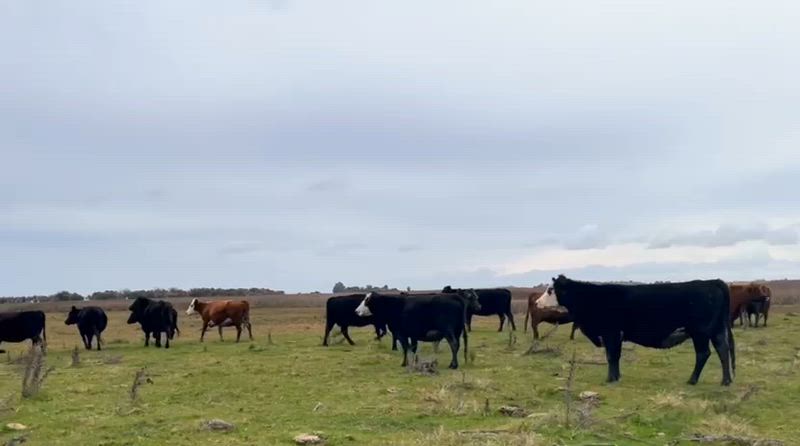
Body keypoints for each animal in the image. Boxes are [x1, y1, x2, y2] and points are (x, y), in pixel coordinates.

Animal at [537, 275, 735, 386]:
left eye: (550, 290)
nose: (537, 302)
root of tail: (713, 282)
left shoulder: (611, 333)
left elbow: (611, 356)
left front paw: (610, 379)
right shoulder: (614, 336)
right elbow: (614, 356)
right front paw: (616, 377)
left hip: (700, 332)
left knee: (703, 354)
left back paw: (692, 380)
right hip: (716, 331)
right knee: (723, 351)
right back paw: (726, 381)